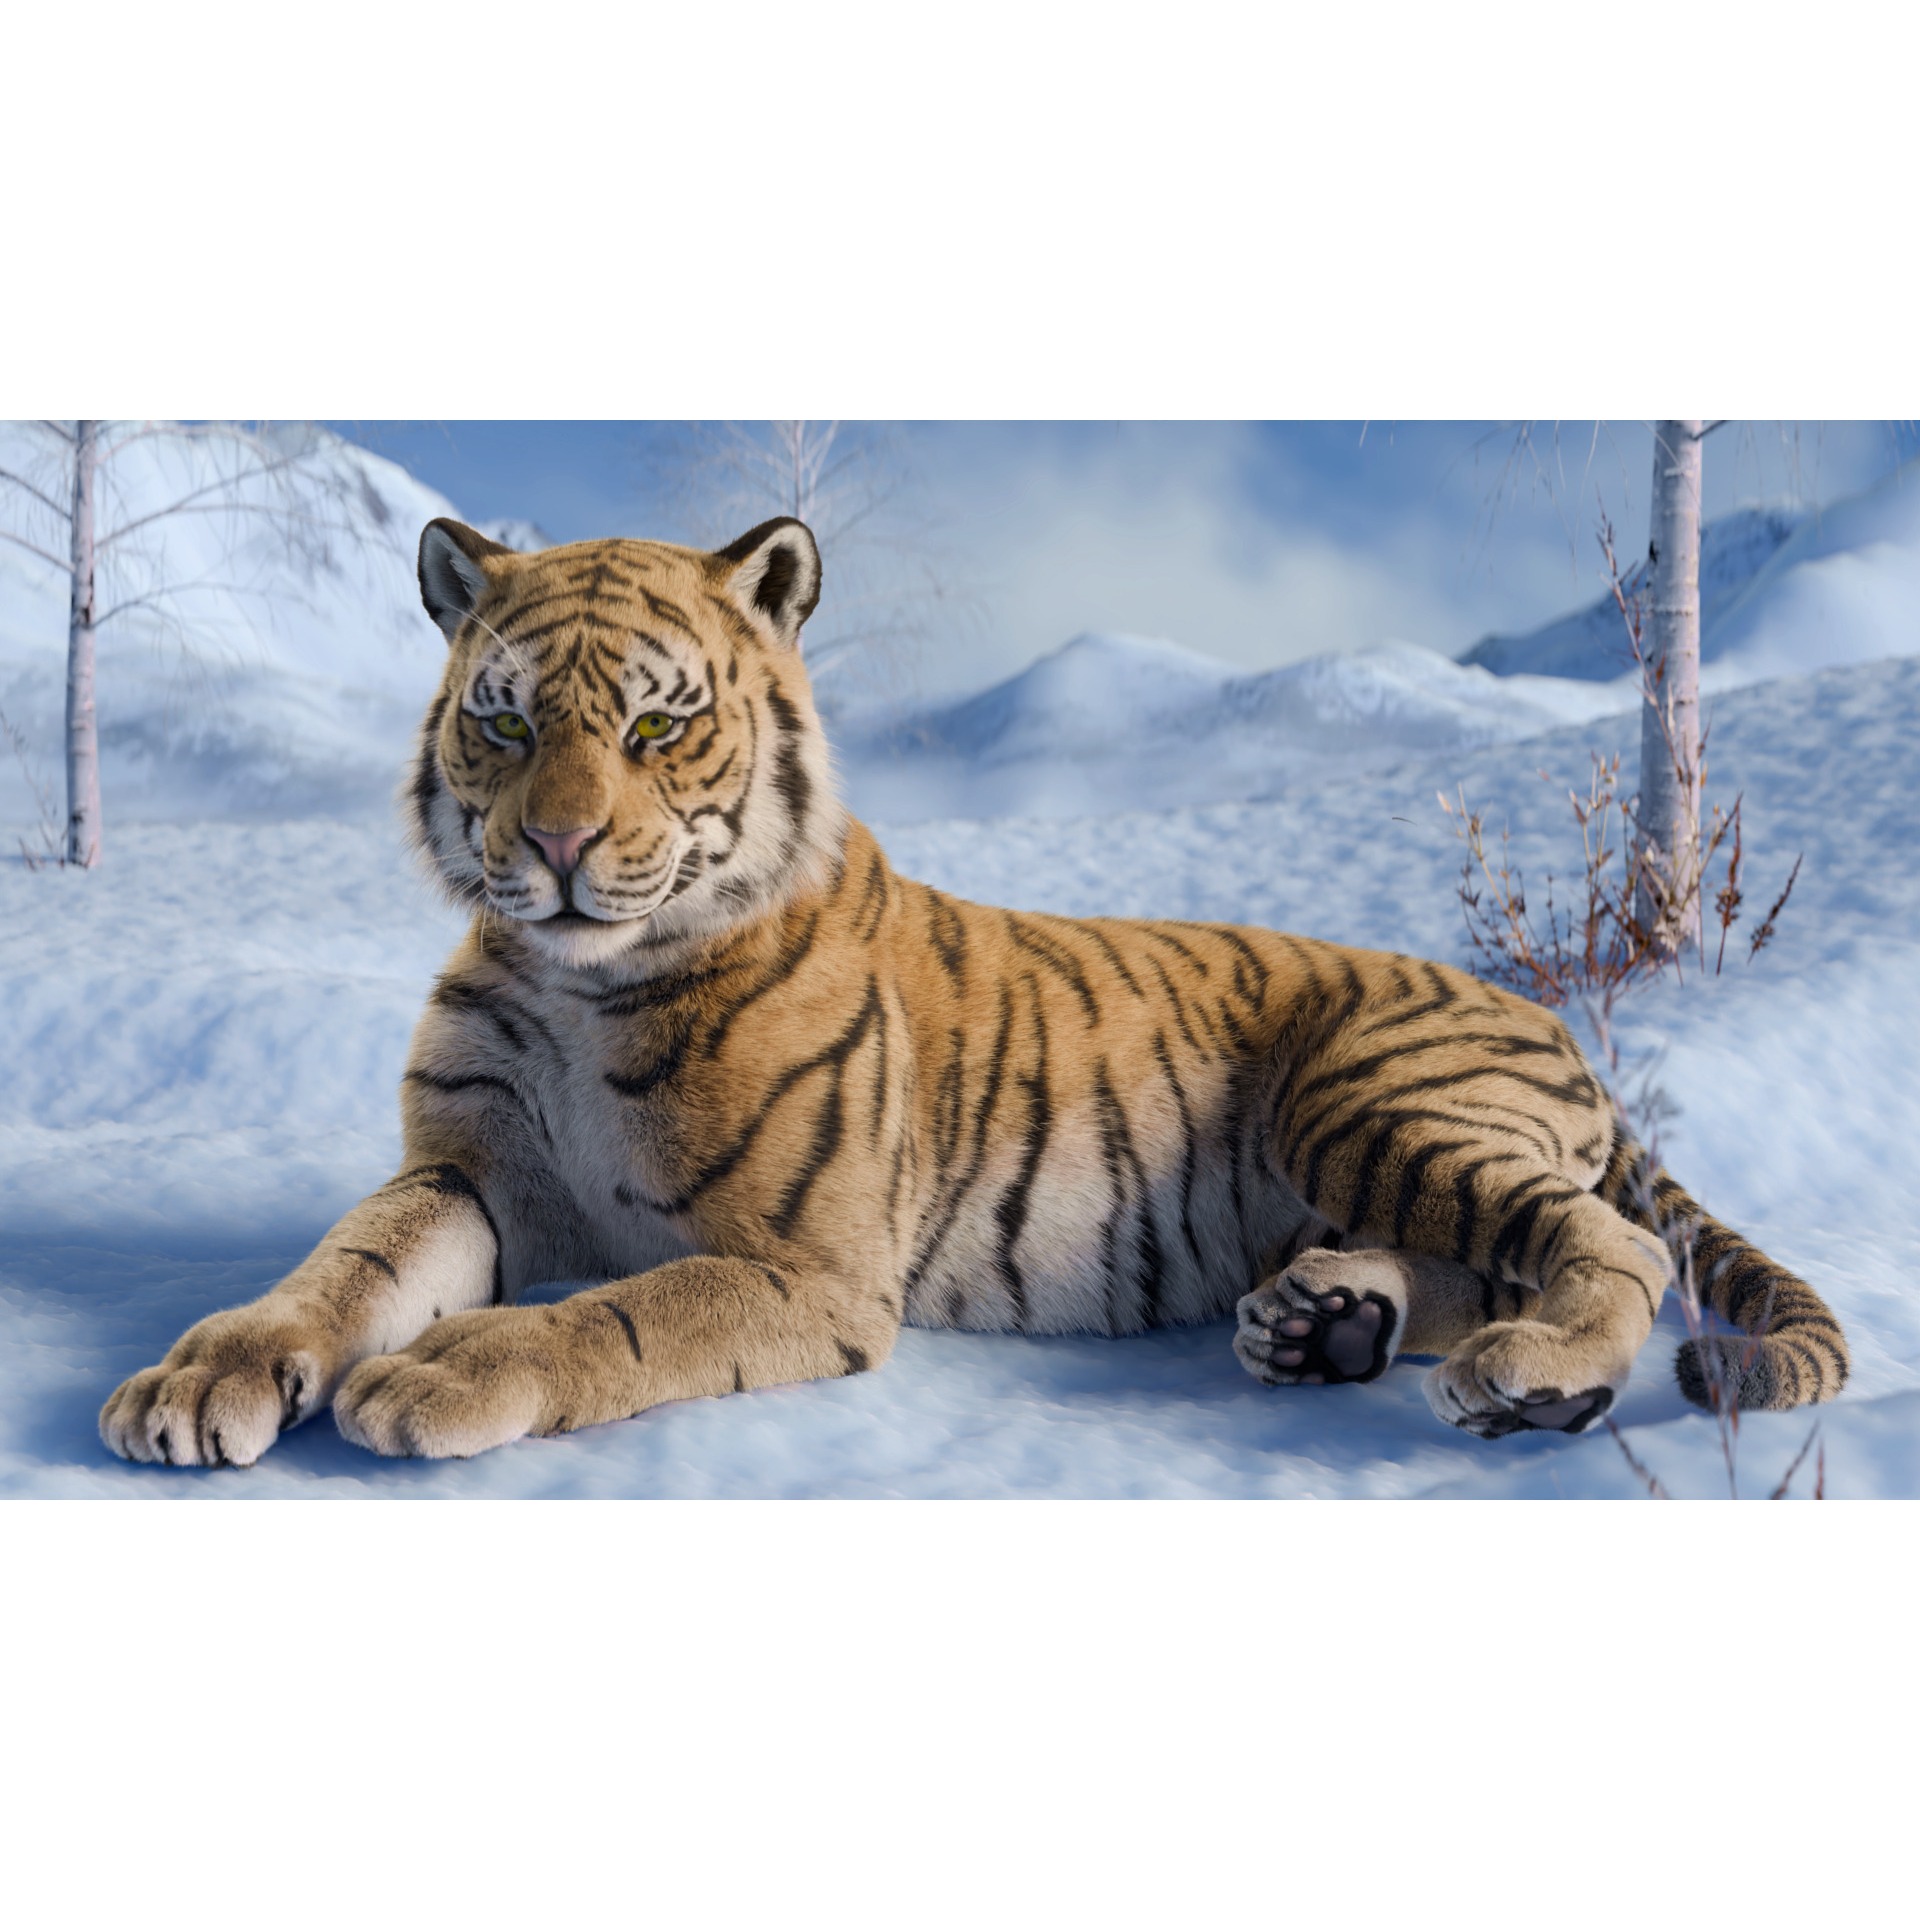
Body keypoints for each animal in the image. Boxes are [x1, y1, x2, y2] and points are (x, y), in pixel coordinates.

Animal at [99, 515, 1851, 1469]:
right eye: (509, 722)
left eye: (659, 727)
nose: (560, 847)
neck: (579, 985)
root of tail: (1546, 1018)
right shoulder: (464, 1171)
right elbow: (333, 1270)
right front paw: (199, 1378)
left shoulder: (803, 1264)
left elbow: (615, 1315)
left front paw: (437, 1376)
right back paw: (1323, 1321)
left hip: (1371, 1097)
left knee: (1612, 1248)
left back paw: (1526, 1377)